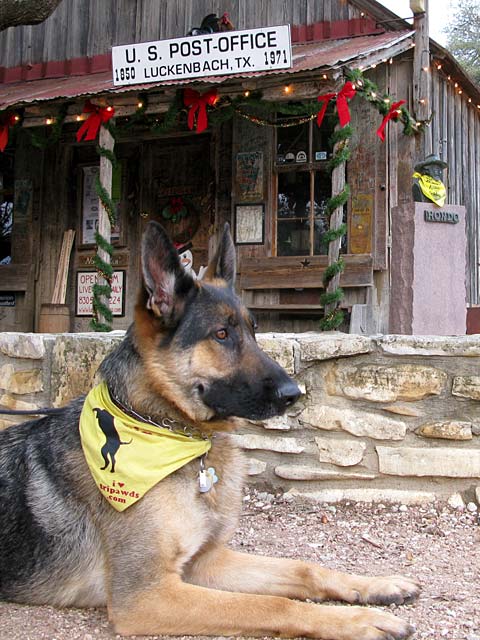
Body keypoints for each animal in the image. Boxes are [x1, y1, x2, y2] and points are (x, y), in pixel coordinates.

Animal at [0, 222, 418, 636]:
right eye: (221, 334)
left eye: (253, 331)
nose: (293, 394)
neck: (164, 428)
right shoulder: (147, 595)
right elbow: (272, 605)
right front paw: (357, 621)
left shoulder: (205, 562)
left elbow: (303, 568)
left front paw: (374, 585)